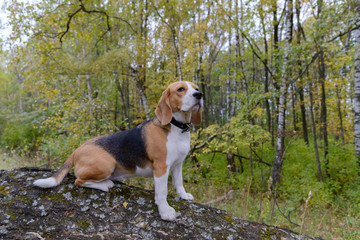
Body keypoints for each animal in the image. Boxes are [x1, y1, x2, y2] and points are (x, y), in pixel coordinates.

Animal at [34, 80, 204, 221]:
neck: (178, 128)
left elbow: (179, 182)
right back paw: (105, 184)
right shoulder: (161, 167)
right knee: (78, 181)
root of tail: (77, 149)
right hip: (106, 164)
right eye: (180, 89)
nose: (199, 94)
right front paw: (165, 211)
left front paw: (183, 195)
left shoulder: (178, 164)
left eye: (196, 88)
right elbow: (162, 192)